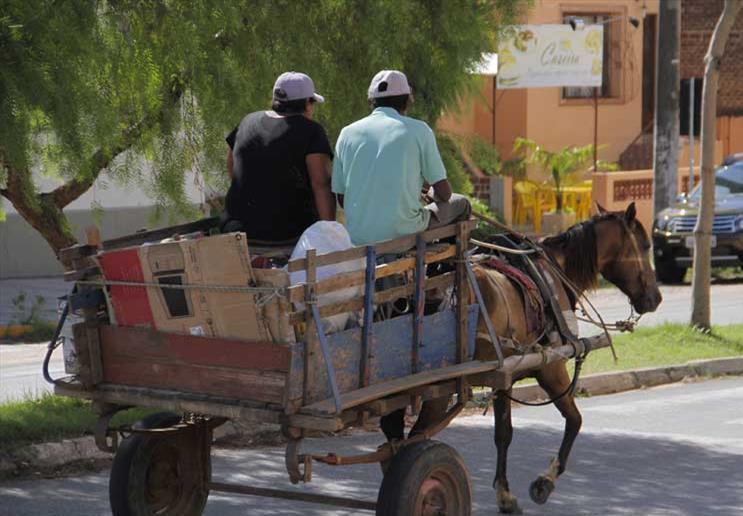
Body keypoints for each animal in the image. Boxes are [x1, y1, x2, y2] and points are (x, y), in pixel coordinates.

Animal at [470, 202, 664, 512]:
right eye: (645, 246)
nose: (656, 298)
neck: (553, 271)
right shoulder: (551, 370)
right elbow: (574, 420)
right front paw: (544, 482)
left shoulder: (504, 379)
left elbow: (503, 434)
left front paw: (504, 494)